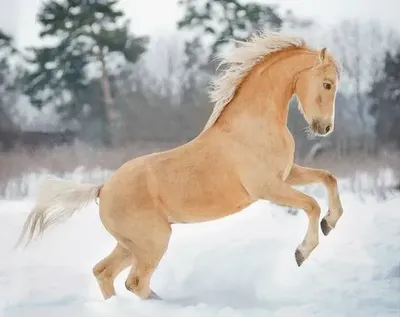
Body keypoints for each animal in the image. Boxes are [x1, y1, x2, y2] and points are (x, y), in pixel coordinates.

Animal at [15, 32, 344, 302]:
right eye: (327, 84)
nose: (325, 128)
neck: (253, 124)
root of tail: (102, 188)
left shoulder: (287, 175)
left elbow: (328, 177)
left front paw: (330, 223)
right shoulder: (266, 187)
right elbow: (312, 204)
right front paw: (303, 252)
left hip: (130, 244)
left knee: (104, 272)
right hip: (152, 242)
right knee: (135, 282)